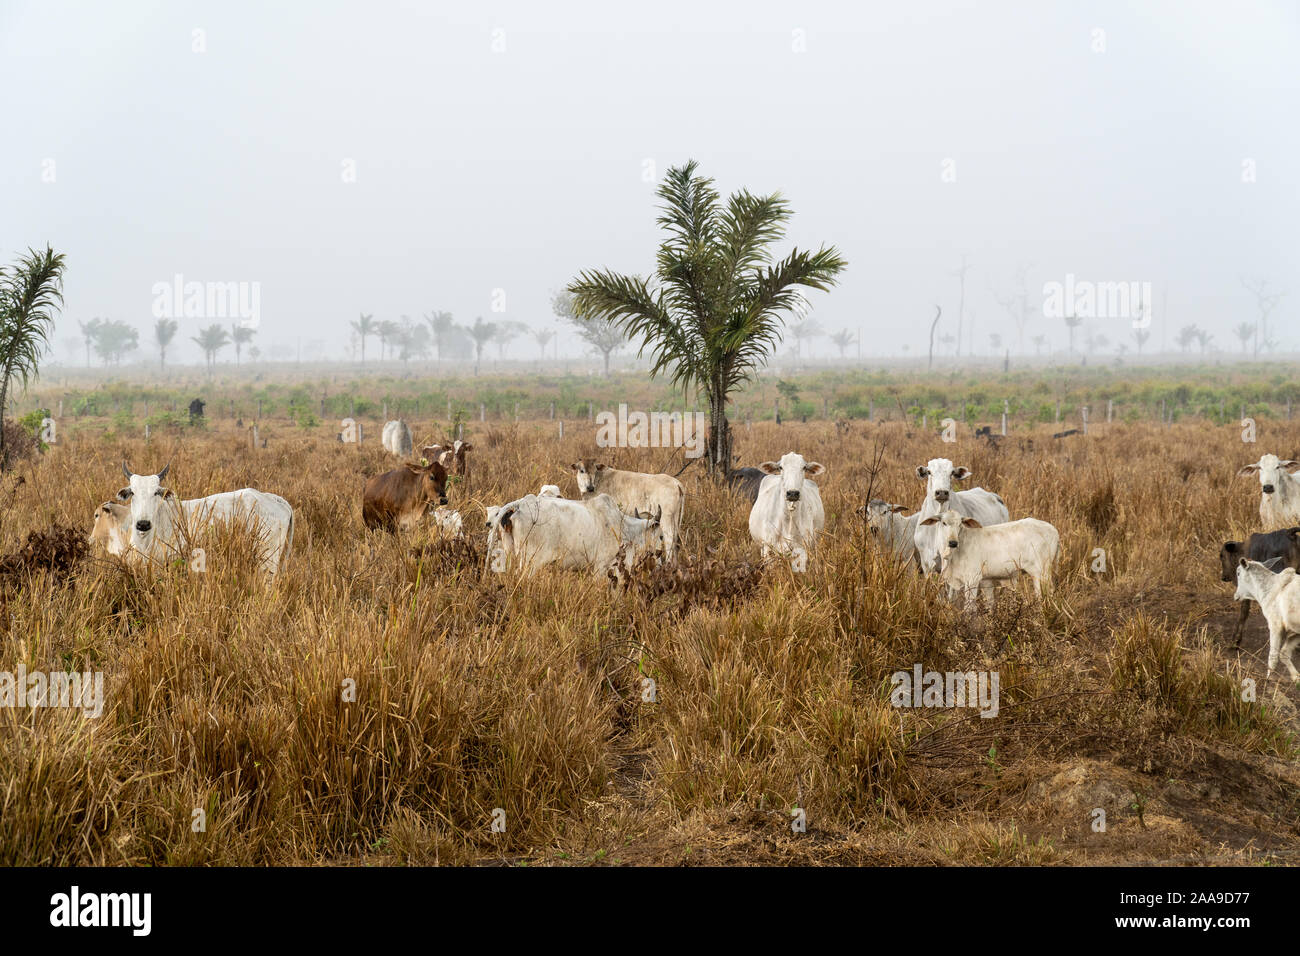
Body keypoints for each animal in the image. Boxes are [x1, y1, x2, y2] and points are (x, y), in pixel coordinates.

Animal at [491, 494, 665, 574]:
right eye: (661, 536)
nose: (662, 559)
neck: (623, 528)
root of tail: (519, 504)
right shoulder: (600, 567)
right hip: (531, 563)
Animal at [1227, 556, 1300, 686]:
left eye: (1238, 573)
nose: (1236, 596)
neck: (1269, 588)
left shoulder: (1275, 626)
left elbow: (1273, 658)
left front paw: (1268, 680)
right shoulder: (1295, 632)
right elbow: (1284, 654)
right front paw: (1296, 677)